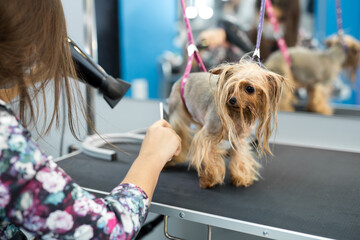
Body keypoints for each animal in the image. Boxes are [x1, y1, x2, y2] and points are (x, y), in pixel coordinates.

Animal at [168, 59, 284, 188]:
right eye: (231, 88)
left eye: (250, 88)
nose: (232, 100)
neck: (237, 114)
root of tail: (182, 79)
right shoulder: (209, 136)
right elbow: (210, 156)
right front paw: (210, 178)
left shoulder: (238, 139)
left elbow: (239, 156)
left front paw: (240, 177)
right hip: (178, 113)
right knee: (179, 132)